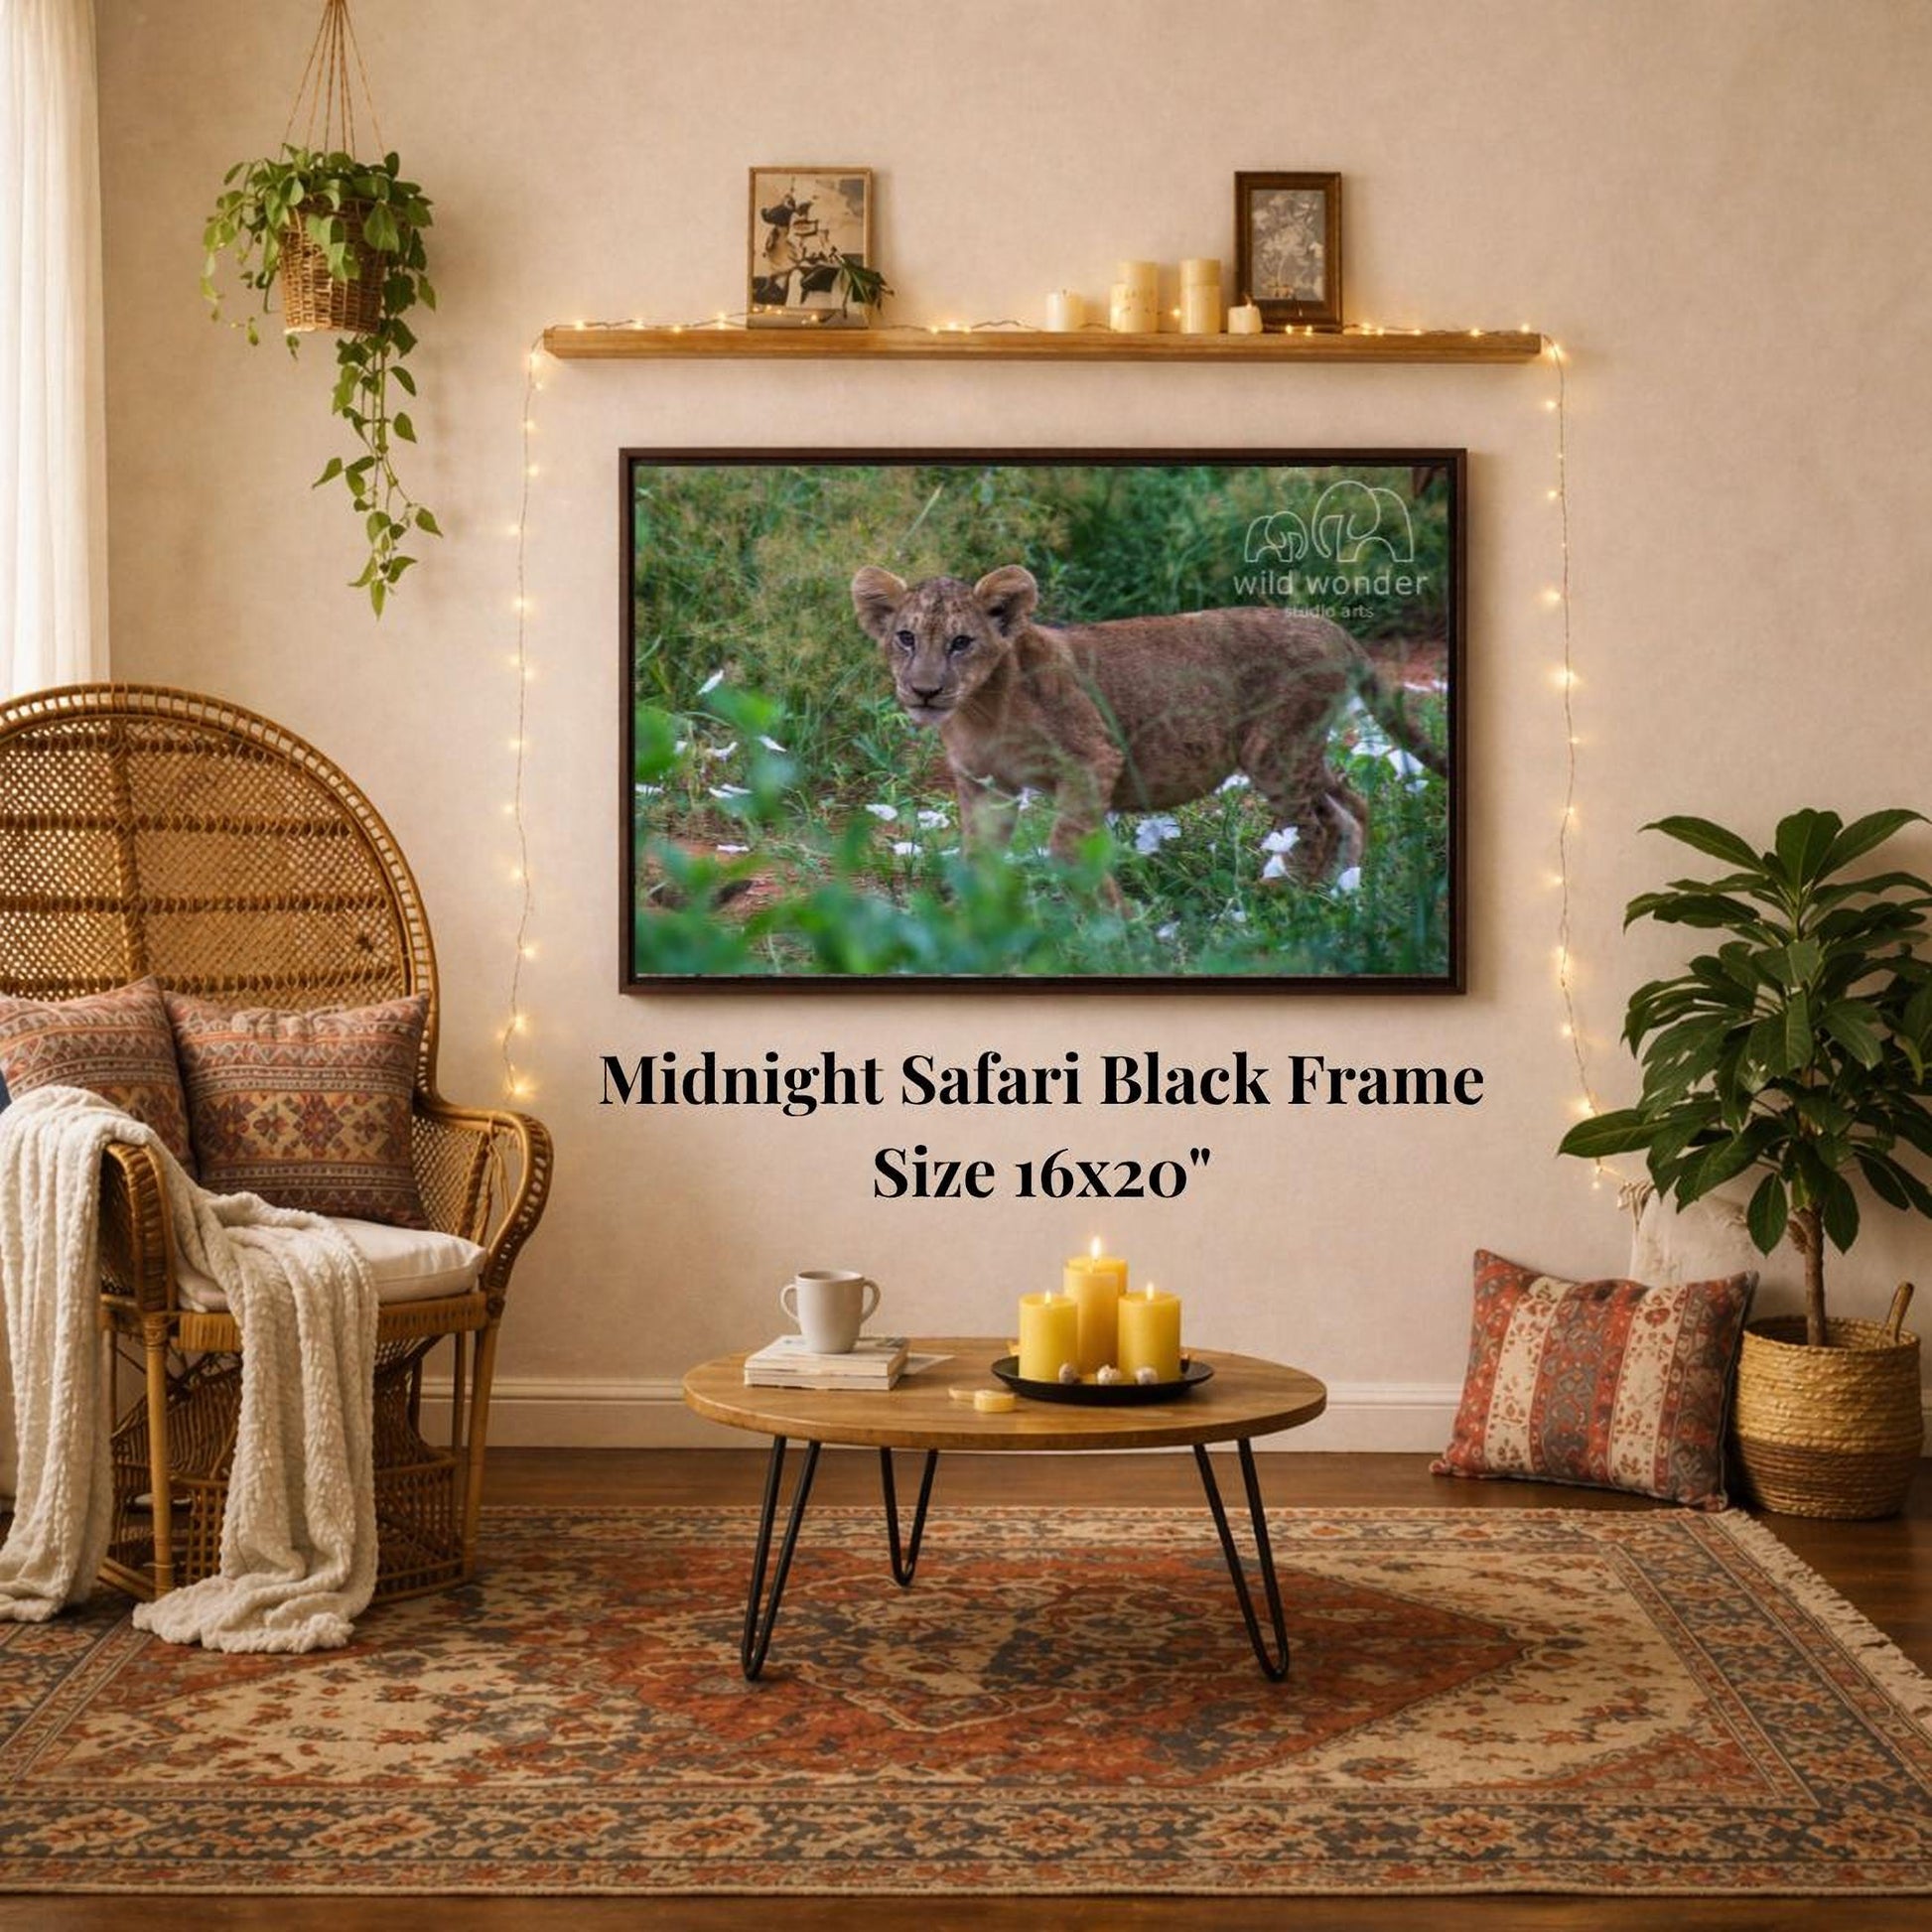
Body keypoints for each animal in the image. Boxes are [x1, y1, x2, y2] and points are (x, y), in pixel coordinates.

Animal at [851, 563, 1445, 905]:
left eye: (961, 643)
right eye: (905, 638)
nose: (924, 691)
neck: (980, 709)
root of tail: (1332, 627)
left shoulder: (1092, 758)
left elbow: (1068, 846)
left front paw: (1115, 920)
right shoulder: (985, 784)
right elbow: (979, 856)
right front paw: (968, 922)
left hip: (1274, 749)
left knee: (1313, 825)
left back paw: (1278, 897)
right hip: (1300, 748)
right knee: (1349, 804)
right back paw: (1342, 892)